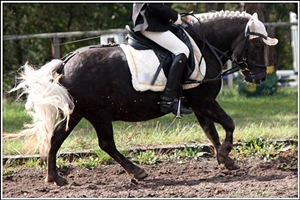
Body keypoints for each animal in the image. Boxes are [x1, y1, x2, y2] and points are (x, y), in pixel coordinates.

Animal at [10, 10, 278, 186]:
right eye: (257, 46)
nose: (259, 77)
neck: (204, 44)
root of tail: (65, 63)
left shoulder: (199, 104)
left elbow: (211, 132)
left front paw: (225, 160)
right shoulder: (204, 101)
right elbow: (229, 123)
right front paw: (226, 156)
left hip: (77, 112)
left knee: (55, 139)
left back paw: (55, 178)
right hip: (98, 113)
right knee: (106, 144)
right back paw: (137, 172)